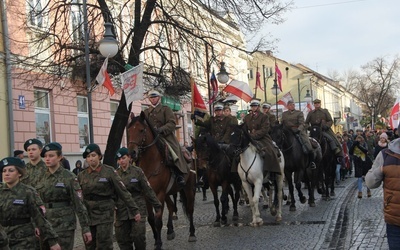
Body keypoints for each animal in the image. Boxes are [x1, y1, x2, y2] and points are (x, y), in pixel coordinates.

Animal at [128, 112, 197, 250]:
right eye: (128, 130)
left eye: (141, 130)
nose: (131, 152)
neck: (150, 164)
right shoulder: (147, 195)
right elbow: (151, 219)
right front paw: (156, 239)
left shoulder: (159, 194)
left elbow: (158, 220)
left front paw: (159, 244)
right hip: (168, 193)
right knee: (171, 207)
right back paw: (170, 230)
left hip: (188, 188)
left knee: (190, 209)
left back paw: (192, 233)